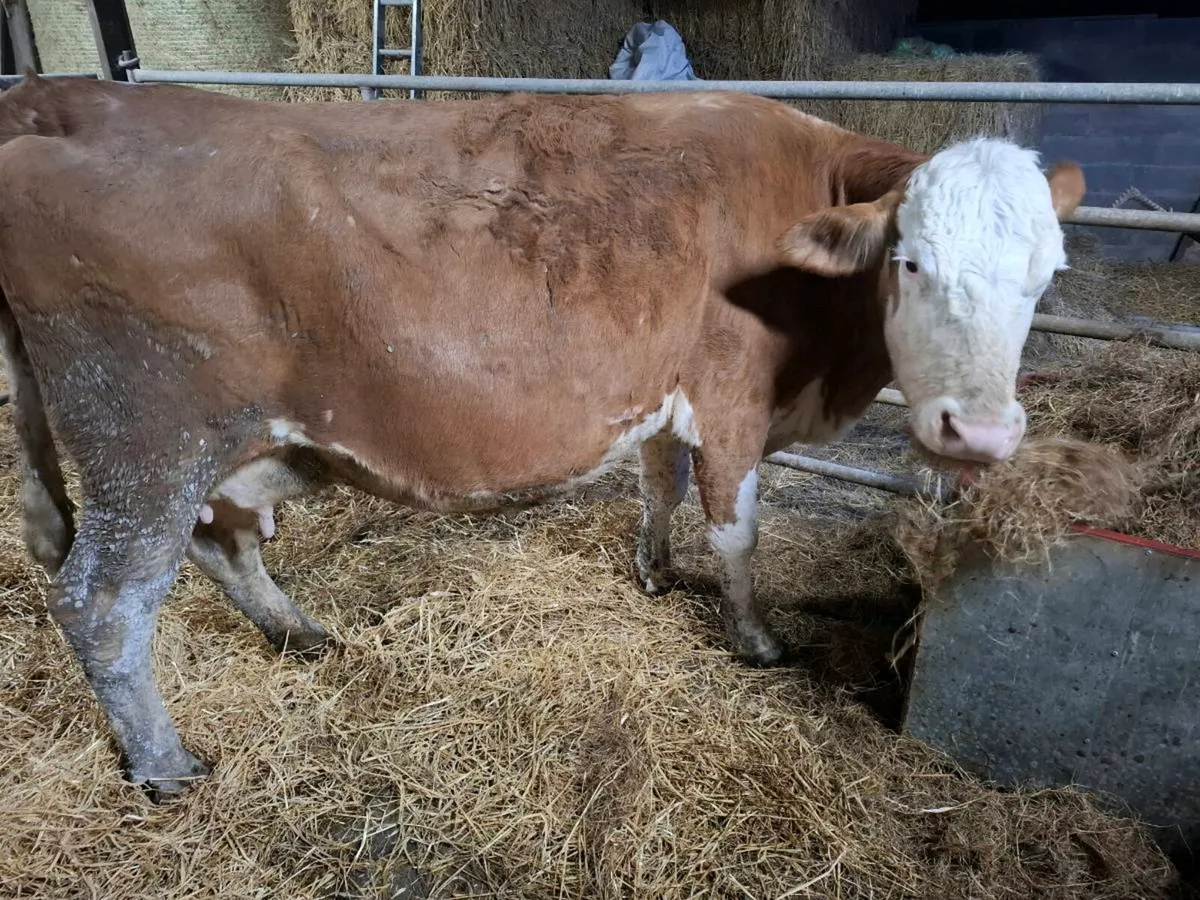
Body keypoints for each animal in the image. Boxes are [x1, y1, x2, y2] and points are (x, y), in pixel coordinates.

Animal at [0, 74, 1084, 796]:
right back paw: (167, 765)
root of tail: (60, 109)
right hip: (145, 444)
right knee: (105, 604)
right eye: (910, 260)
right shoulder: (734, 396)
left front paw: (654, 571)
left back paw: (302, 634)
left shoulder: (664, 390)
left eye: (1048, 275)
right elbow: (737, 531)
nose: (981, 431)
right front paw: (756, 639)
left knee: (221, 542)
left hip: (224, 451)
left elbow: (661, 484)